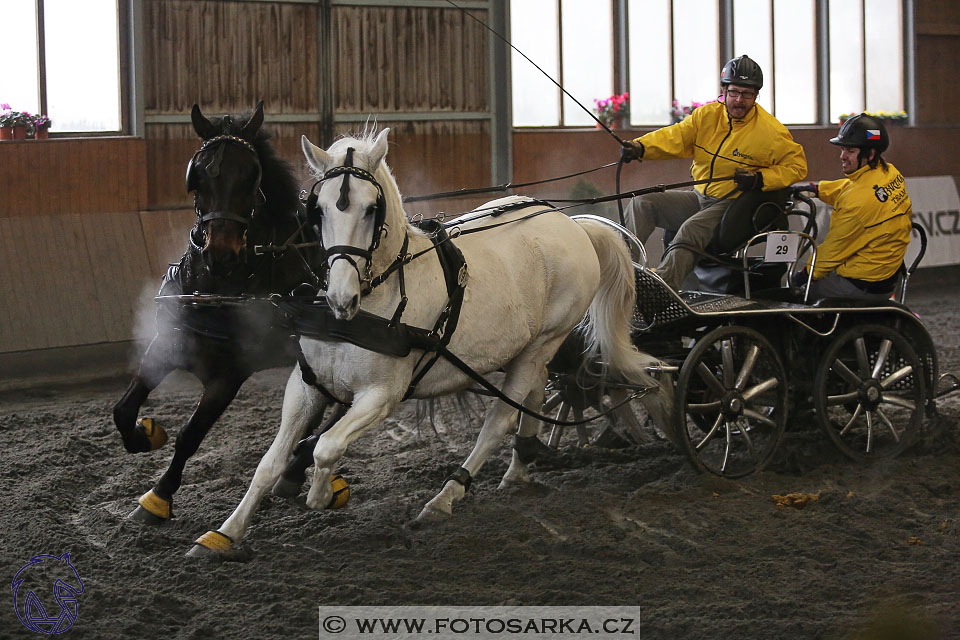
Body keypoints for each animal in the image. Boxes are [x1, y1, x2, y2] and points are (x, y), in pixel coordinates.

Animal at [114, 102, 338, 524]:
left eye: (251, 177)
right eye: (198, 174)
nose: (221, 252)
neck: (217, 288)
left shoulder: (229, 375)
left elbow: (190, 435)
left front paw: (159, 497)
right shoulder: (166, 346)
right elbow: (123, 410)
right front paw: (146, 435)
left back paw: (296, 467)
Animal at [186, 130, 668, 560]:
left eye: (372, 208)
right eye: (317, 210)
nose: (341, 298)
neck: (370, 303)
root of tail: (571, 223)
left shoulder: (382, 395)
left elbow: (327, 447)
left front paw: (323, 494)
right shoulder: (305, 387)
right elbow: (268, 463)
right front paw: (225, 534)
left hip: (544, 342)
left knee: (501, 418)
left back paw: (445, 497)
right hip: (529, 348)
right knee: (535, 394)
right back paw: (520, 467)